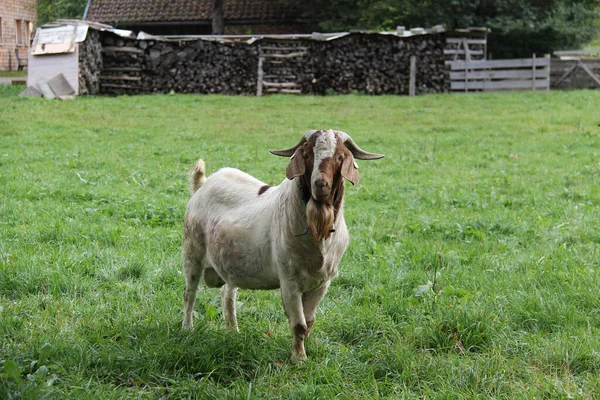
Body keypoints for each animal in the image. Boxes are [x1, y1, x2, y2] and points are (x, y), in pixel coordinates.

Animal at [180, 130, 384, 360]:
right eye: (307, 155)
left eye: (340, 156)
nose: (320, 185)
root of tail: (202, 185)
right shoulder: (289, 279)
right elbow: (299, 324)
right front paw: (299, 359)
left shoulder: (323, 282)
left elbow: (309, 322)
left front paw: (304, 352)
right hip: (192, 253)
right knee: (190, 293)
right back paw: (187, 328)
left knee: (227, 295)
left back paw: (233, 331)